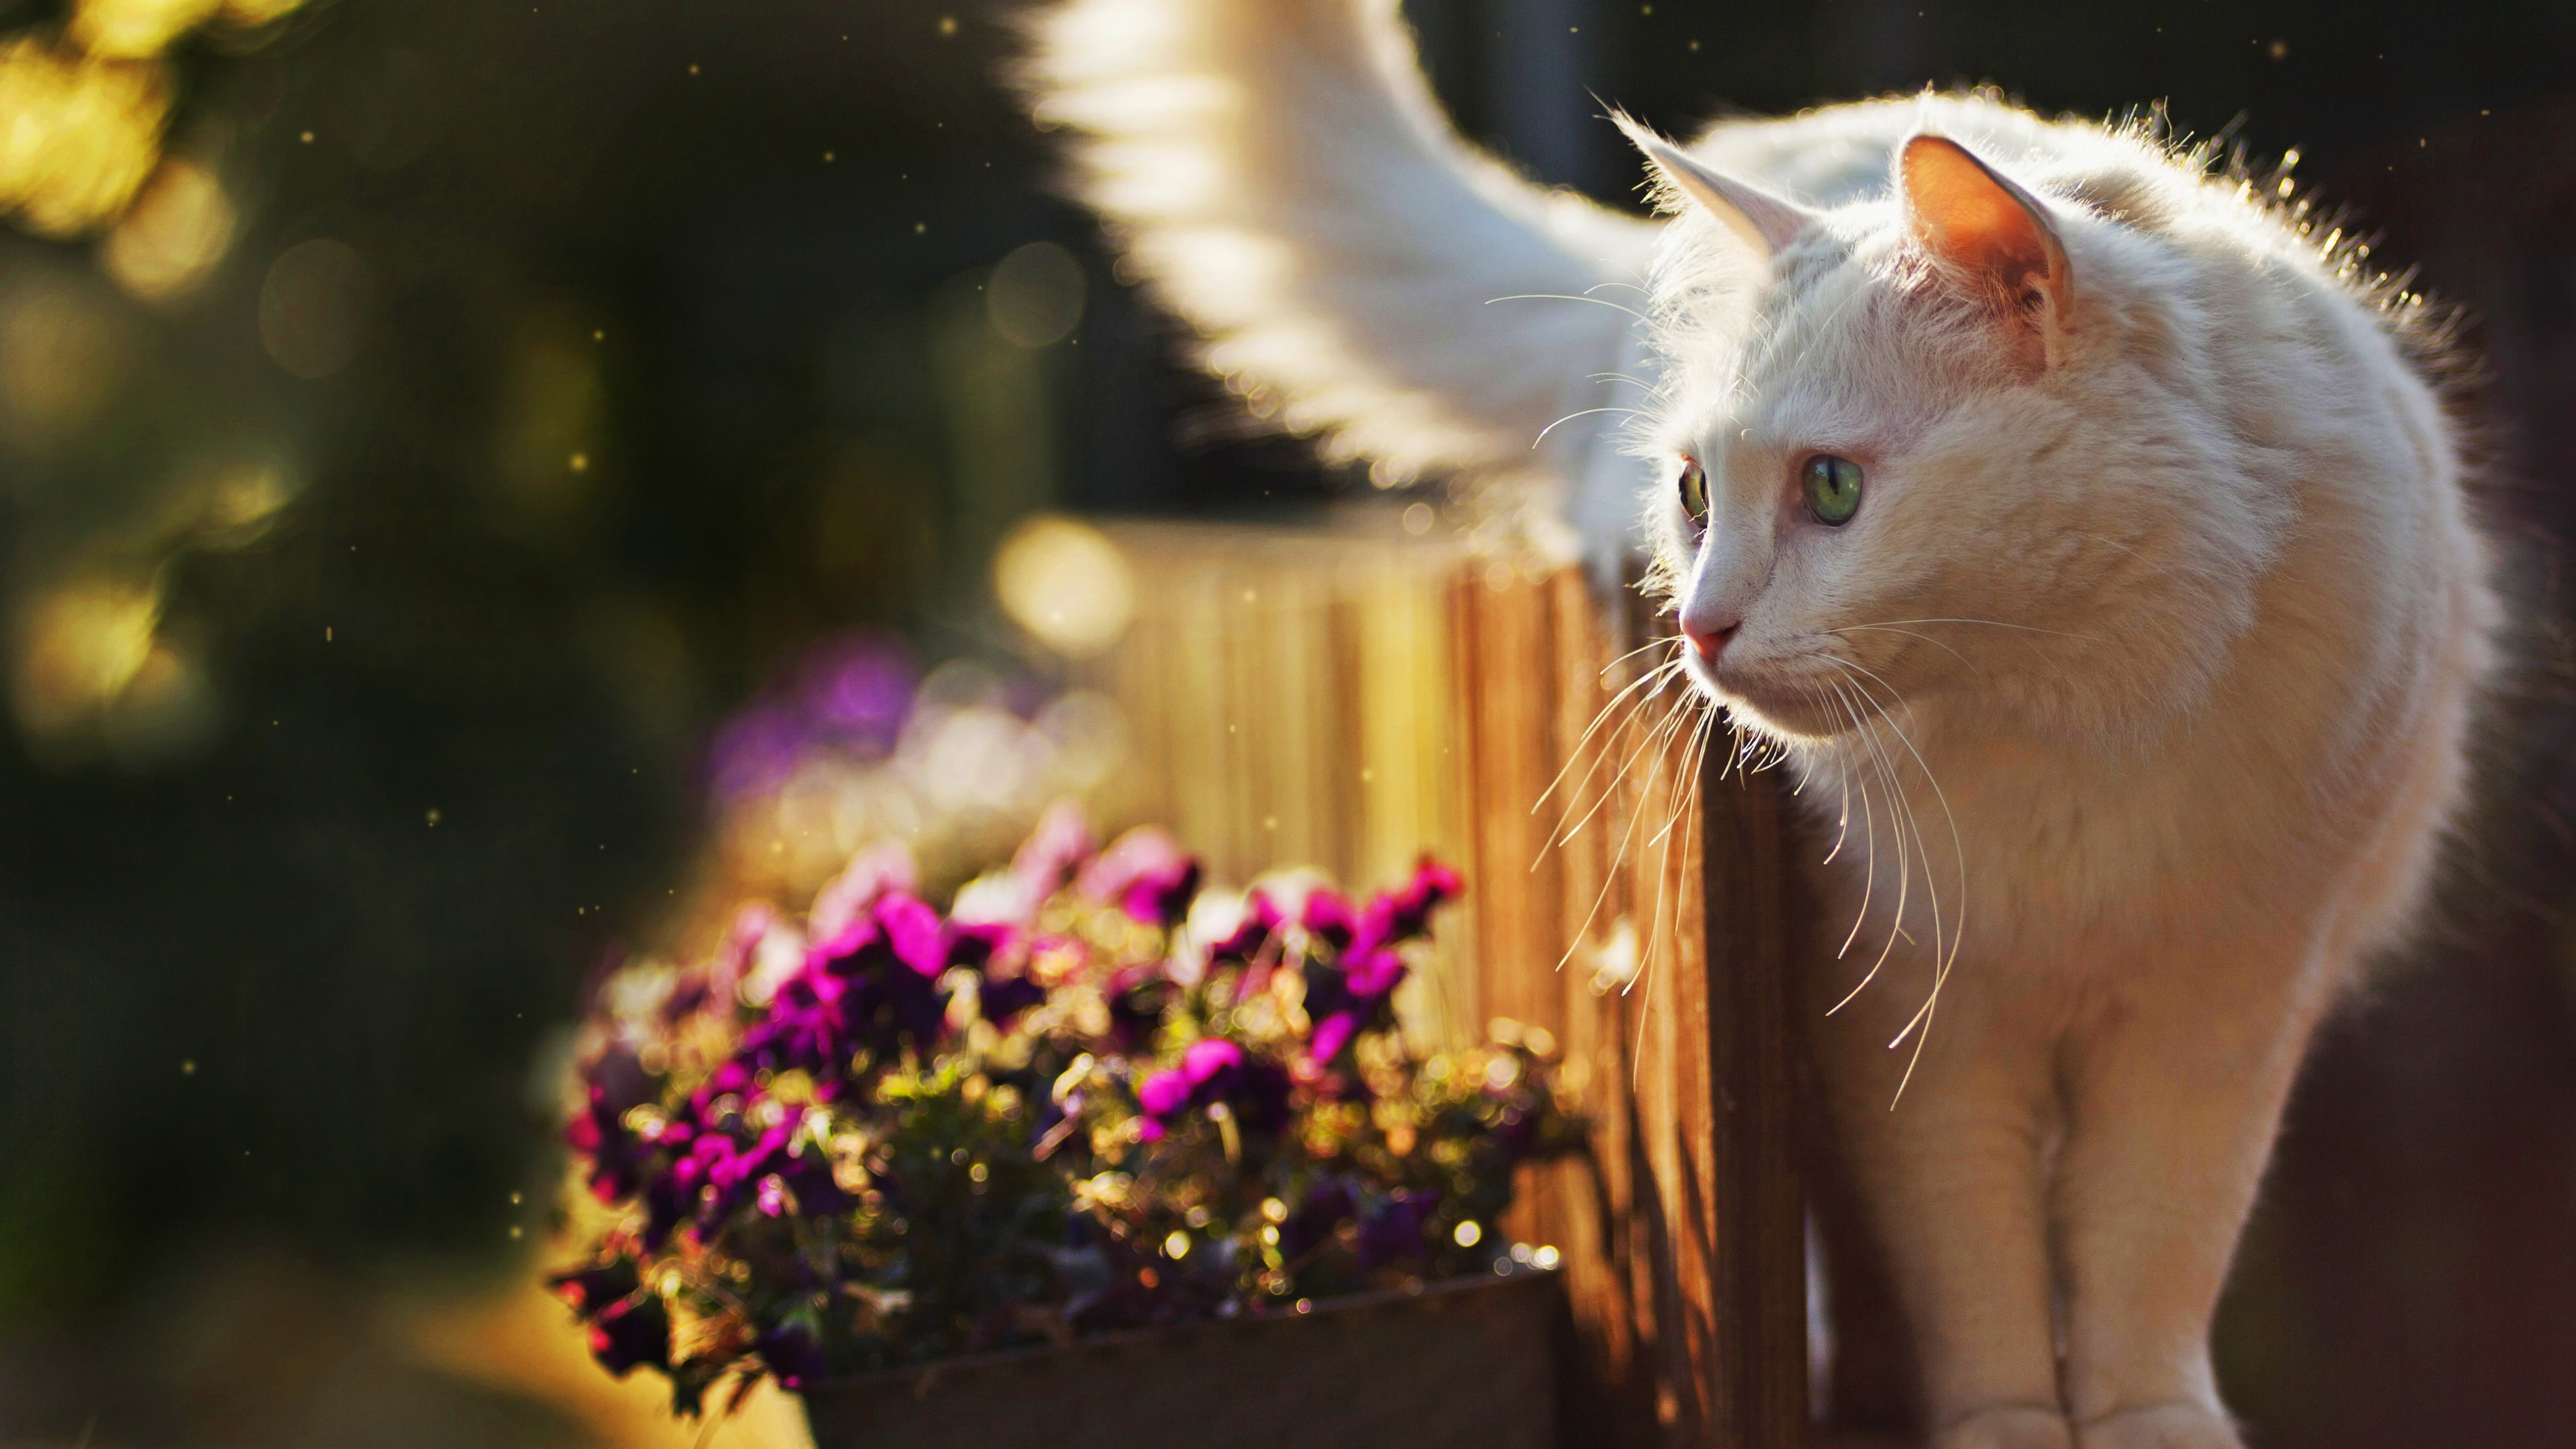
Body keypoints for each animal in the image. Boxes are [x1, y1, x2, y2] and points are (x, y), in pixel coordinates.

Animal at [1020, 5, 2493, 1433]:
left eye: (1832, 490)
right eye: (1694, 495)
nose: (1699, 628)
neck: (2070, 709)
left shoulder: (2220, 1014)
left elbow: (2150, 1260)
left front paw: (2144, 1423)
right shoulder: (1909, 1032)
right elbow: (1975, 1275)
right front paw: (2003, 1421)